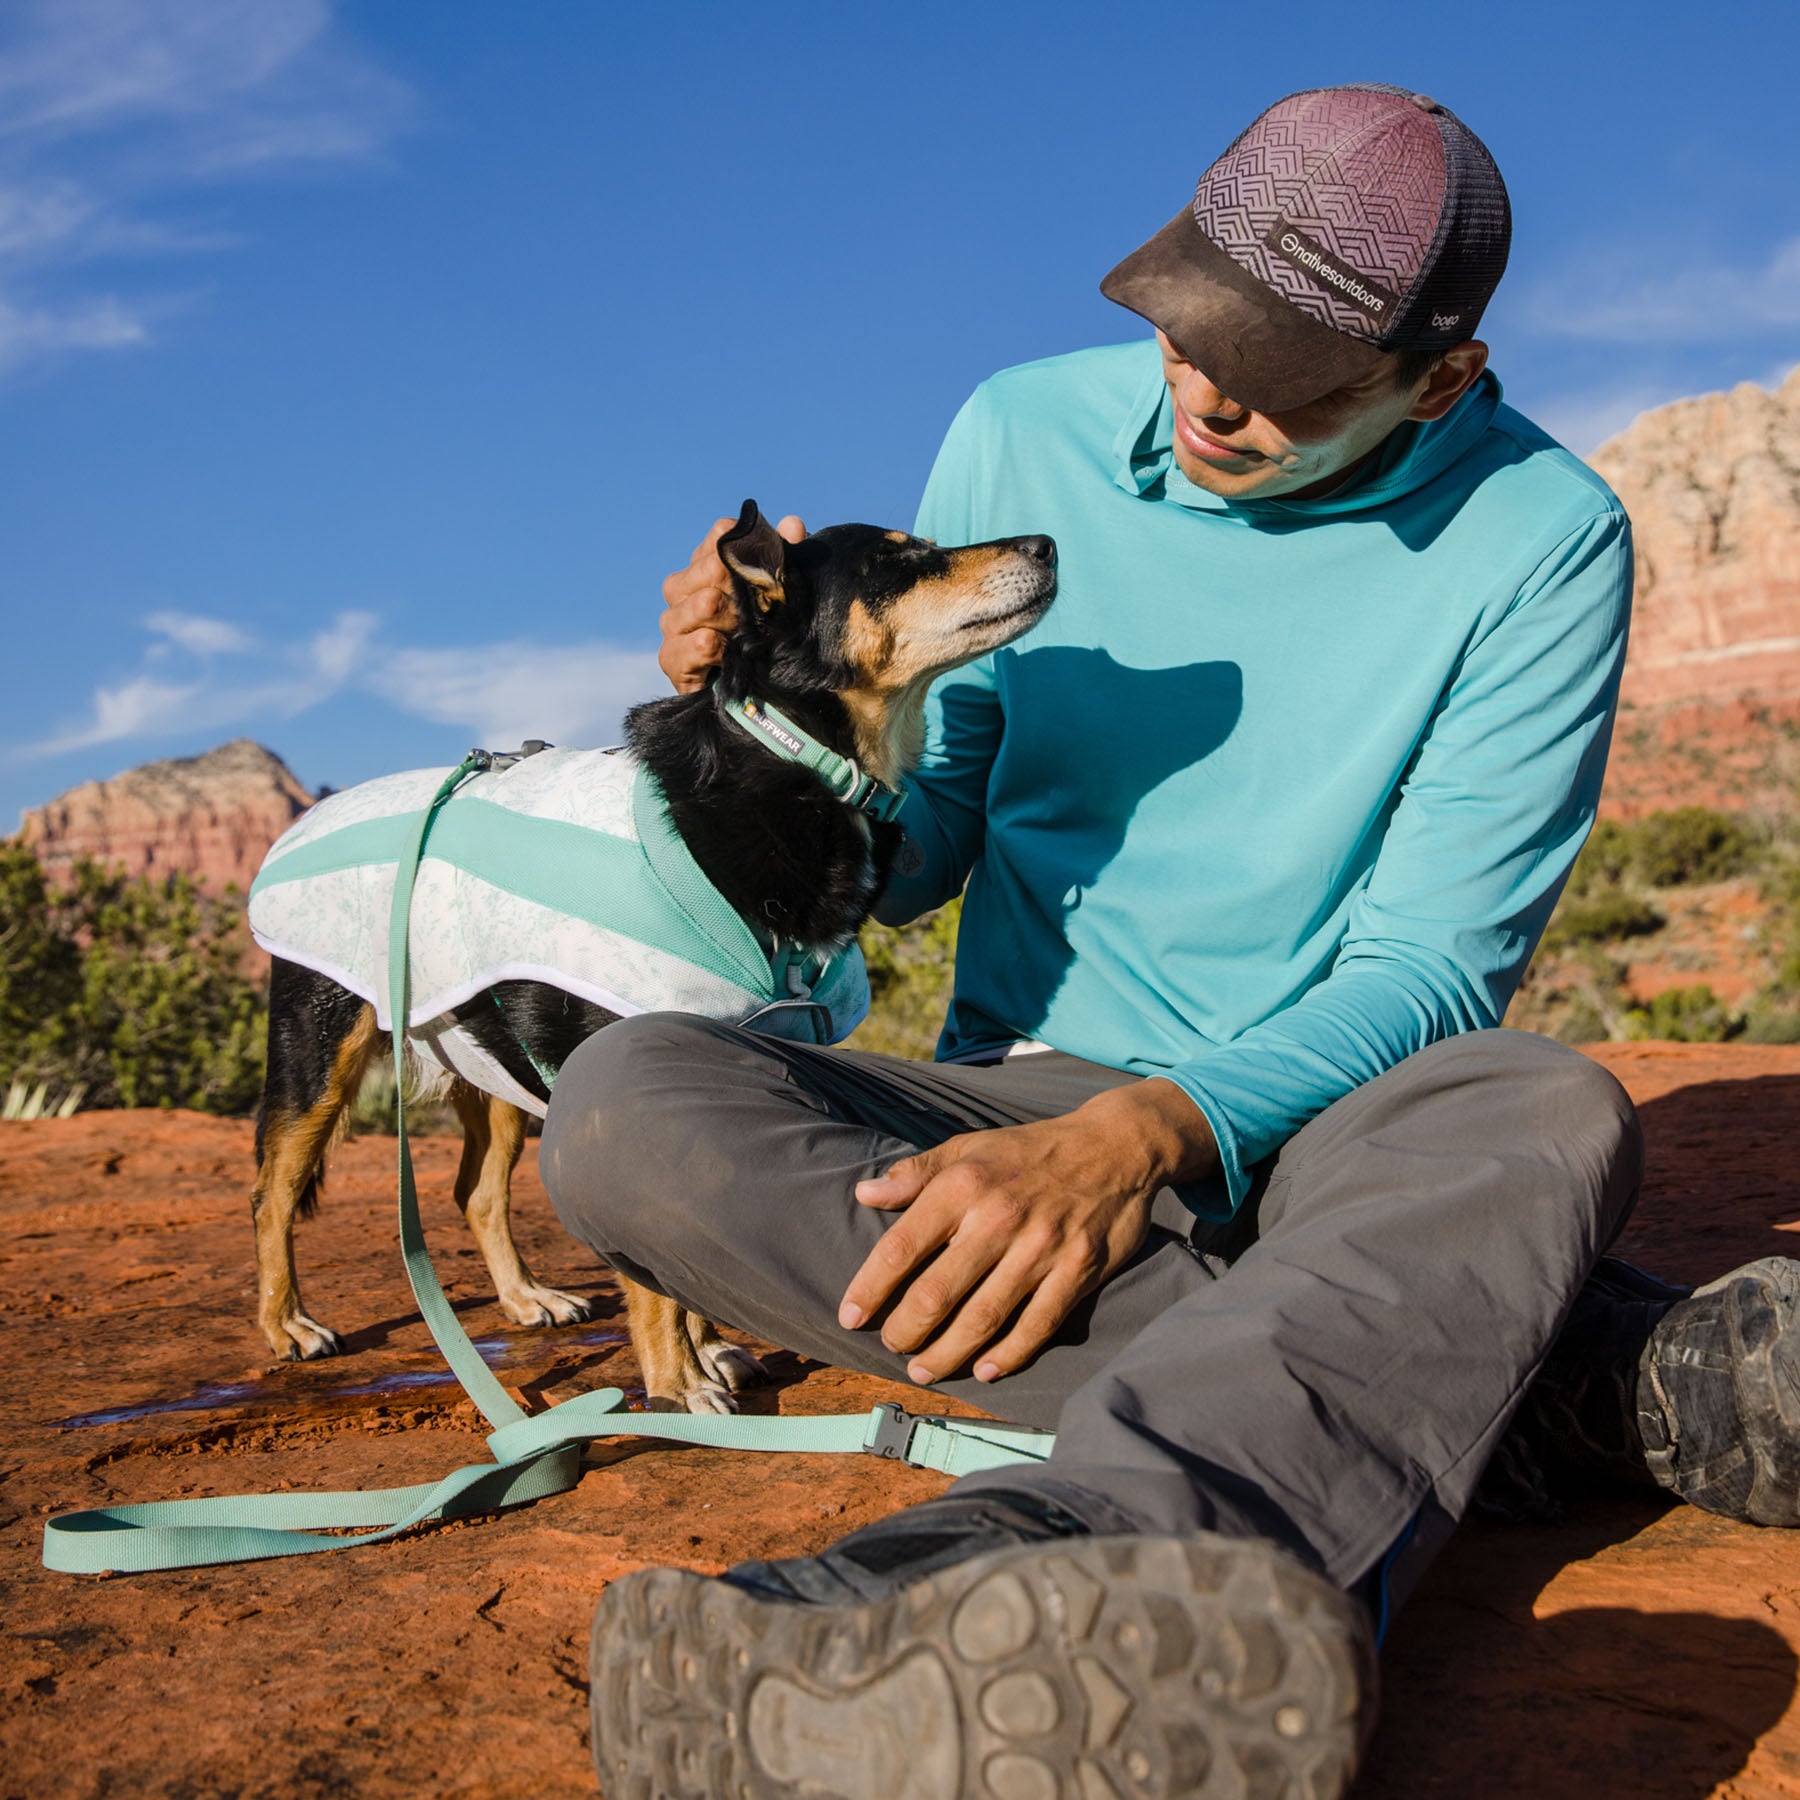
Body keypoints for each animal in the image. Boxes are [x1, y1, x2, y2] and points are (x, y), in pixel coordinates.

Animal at [241, 500, 1051, 1411]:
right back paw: (287, 1325)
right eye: (894, 563)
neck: (791, 757)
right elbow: (653, 1274)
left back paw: (527, 1297)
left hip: (490, 1054)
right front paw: (678, 1386)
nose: (1047, 544)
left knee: (475, 1191)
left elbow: (687, 1249)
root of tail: (314, 813)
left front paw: (712, 1352)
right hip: (319, 1049)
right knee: (272, 1191)